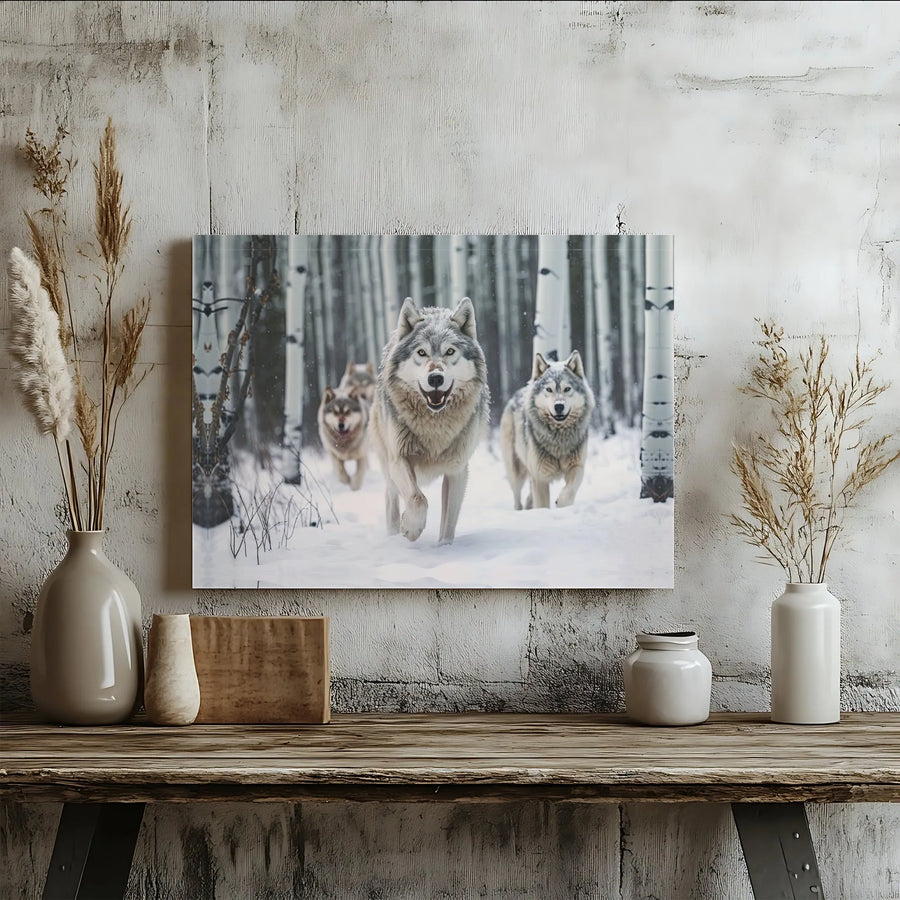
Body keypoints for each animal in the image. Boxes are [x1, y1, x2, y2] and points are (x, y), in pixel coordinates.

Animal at [369, 297, 489, 544]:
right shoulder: (399, 459)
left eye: (450, 351)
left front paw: (444, 547)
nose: (435, 378)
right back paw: (393, 533)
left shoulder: (457, 471)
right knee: (392, 497)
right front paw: (411, 528)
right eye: (422, 352)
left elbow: (448, 524)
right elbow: (418, 499)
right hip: (388, 464)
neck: (435, 426)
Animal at [500, 350, 595, 509]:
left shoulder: (577, 467)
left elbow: (569, 490)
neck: (559, 439)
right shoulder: (540, 477)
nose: (559, 406)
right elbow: (542, 504)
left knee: (528, 497)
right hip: (516, 471)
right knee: (517, 497)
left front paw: (561, 503)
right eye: (549, 389)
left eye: (567, 389)